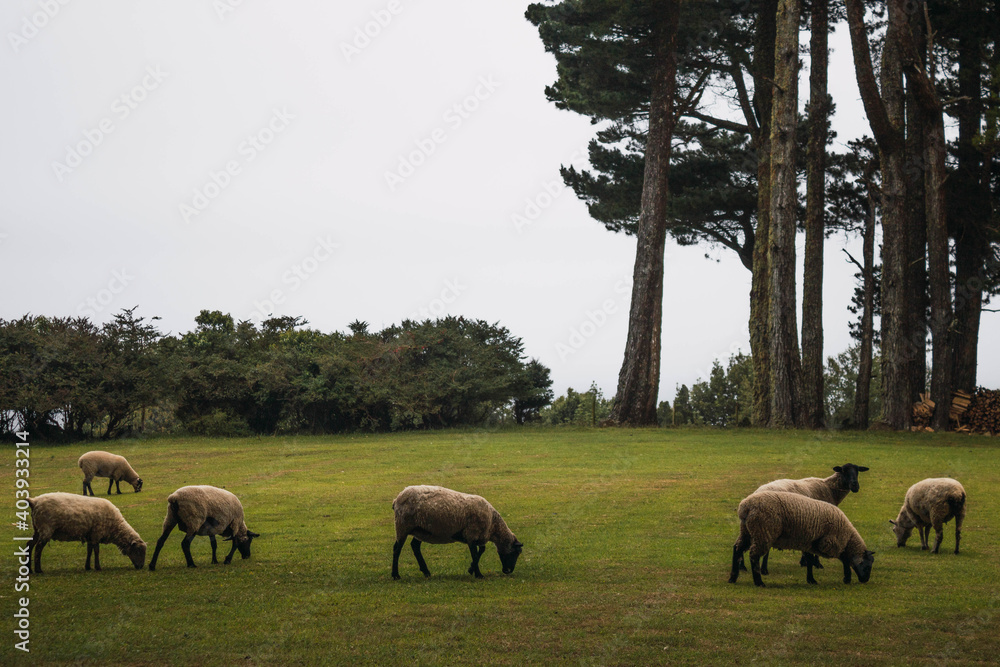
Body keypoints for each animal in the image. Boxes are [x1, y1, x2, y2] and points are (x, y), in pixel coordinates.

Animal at [391, 485, 523, 579]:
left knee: (415, 546)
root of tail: (397, 499)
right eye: (516, 553)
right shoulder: (471, 534)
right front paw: (478, 574)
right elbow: (476, 553)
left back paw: (426, 572)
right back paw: (395, 575)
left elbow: (481, 550)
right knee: (397, 549)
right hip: (402, 526)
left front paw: (471, 569)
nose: (508, 571)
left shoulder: (478, 536)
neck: (493, 525)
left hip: (421, 530)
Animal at [729, 491, 875, 587]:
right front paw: (847, 578)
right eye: (867, 566)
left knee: (737, 548)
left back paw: (733, 577)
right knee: (754, 555)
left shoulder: (809, 543)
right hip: (763, 531)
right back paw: (759, 582)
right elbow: (845, 559)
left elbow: (809, 561)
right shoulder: (830, 543)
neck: (848, 537)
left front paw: (811, 580)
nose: (865, 580)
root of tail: (746, 506)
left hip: (747, 531)